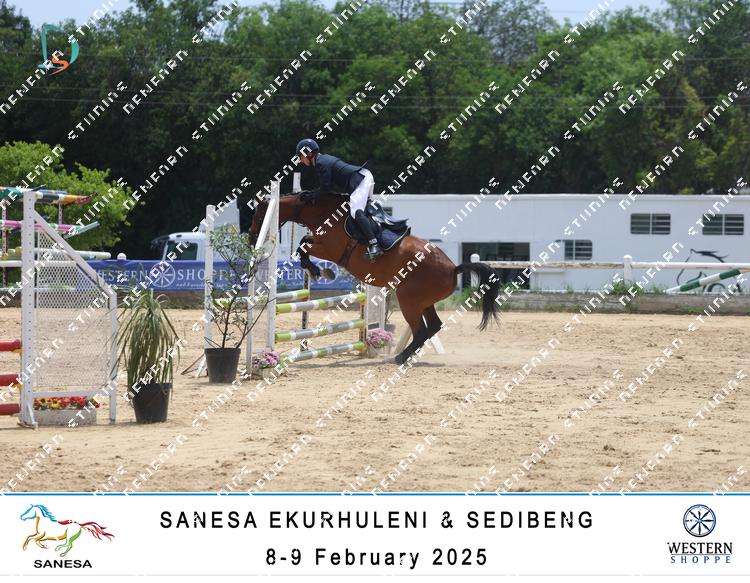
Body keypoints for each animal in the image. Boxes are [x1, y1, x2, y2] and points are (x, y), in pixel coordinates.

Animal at [250, 192, 501, 364]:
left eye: (260, 214)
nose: (252, 238)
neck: (325, 213)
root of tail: (453, 268)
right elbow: (304, 243)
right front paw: (317, 270)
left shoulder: (330, 250)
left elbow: (303, 247)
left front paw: (319, 270)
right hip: (423, 301)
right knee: (433, 326)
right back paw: (404, 355)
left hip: (408, 298)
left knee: (421, 329)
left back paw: (400, 358)